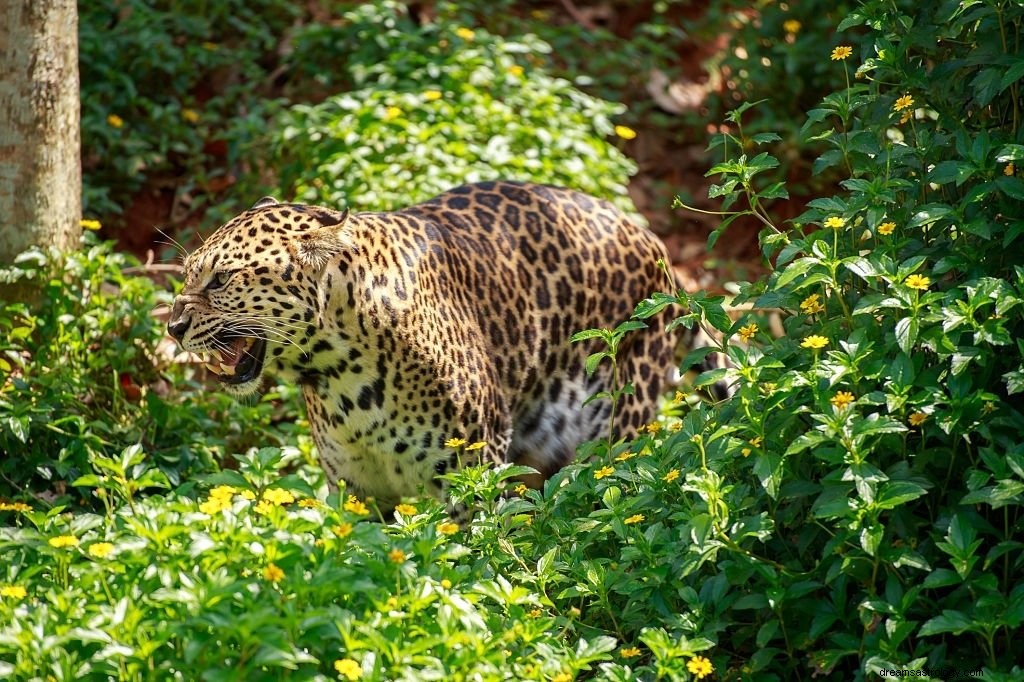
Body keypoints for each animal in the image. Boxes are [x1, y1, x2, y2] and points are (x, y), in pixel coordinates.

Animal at [167, 180, 704, 509]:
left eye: (220, 280)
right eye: (189, 273)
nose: (172, 327)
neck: (340, 376)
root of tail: (651, 241)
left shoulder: (473, 472)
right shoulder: (356, 489)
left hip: (616, 435)